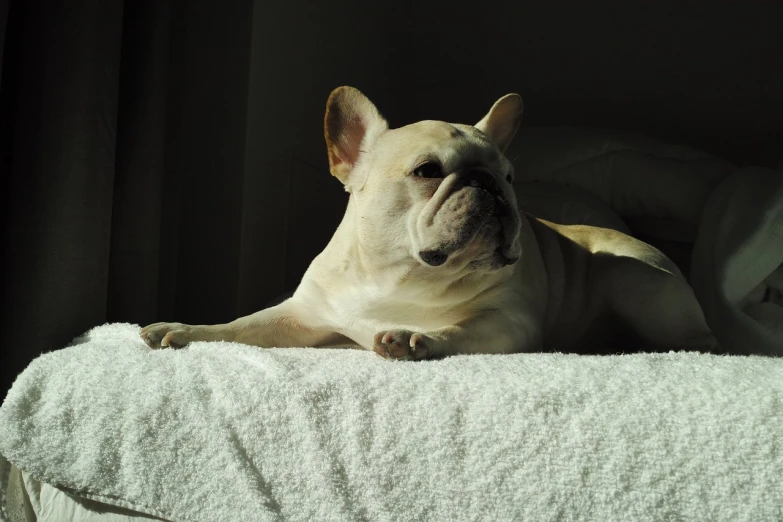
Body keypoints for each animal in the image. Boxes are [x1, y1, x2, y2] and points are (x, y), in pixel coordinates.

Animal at [139, 87, 716, 360]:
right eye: (427, 171)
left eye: (510, 177)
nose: (490, 184)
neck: (394, 275)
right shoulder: (300, 317)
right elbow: (239, 326)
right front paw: (182, 329)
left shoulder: (508, 320)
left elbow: (459, 329)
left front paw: (419, 337)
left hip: (633, 278)